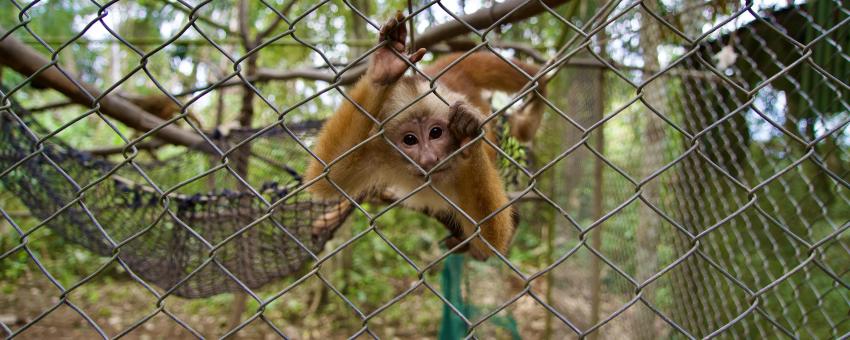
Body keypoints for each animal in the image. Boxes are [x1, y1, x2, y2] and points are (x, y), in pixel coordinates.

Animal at [304, 11, 544, 260]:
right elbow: (328, 175)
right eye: (410, 139)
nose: (428, 159)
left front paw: (468, 135)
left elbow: (489, 238)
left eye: (436, 133)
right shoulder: (379, 151)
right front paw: (384, 69)